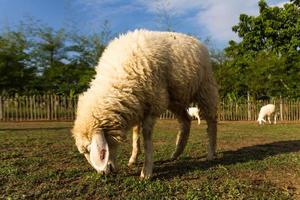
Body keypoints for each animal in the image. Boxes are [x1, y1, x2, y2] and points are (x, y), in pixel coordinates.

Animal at [72, 29, 219, 178]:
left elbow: (147, 137)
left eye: (90, 149)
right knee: (185, 121)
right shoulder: (137, 103)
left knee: (211, 120)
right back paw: (176, 153)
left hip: (204, 88)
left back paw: (210, 153)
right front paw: (133, 158)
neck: (117, 82)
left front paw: (146, 171)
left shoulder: (153, 103)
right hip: (174, 98)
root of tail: (195, 40)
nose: (103, 173)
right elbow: (136, 134)